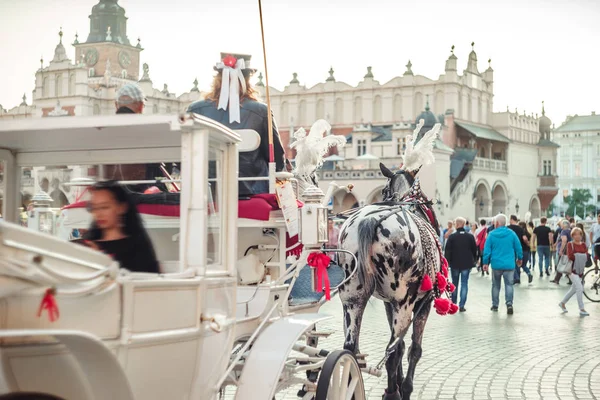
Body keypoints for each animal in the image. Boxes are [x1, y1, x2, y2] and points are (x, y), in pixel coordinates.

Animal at [338, 123, 450, 398]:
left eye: (384, 190)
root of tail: (369, 219)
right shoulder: (421, 303)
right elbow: (412, 350)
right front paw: (403, 387)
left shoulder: (389, 303)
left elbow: (399, 349)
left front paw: (397, 384)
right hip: (404, 303)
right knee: (391, 351)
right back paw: (393, 391)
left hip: (353, 298)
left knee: (351, 349)